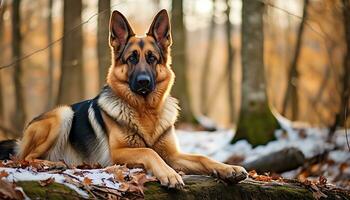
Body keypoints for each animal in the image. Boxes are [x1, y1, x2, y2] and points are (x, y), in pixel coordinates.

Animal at [0, 9, 246, 188]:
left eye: (152, 58)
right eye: (132, 59)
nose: (144, 82)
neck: (146, 111)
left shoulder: (173, 154)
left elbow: (203, 158)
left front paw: (228, 168)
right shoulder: (119, 153)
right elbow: (148, 151)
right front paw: (169, 174)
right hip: (63, 114)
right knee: (24, 158)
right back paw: (52, 164)